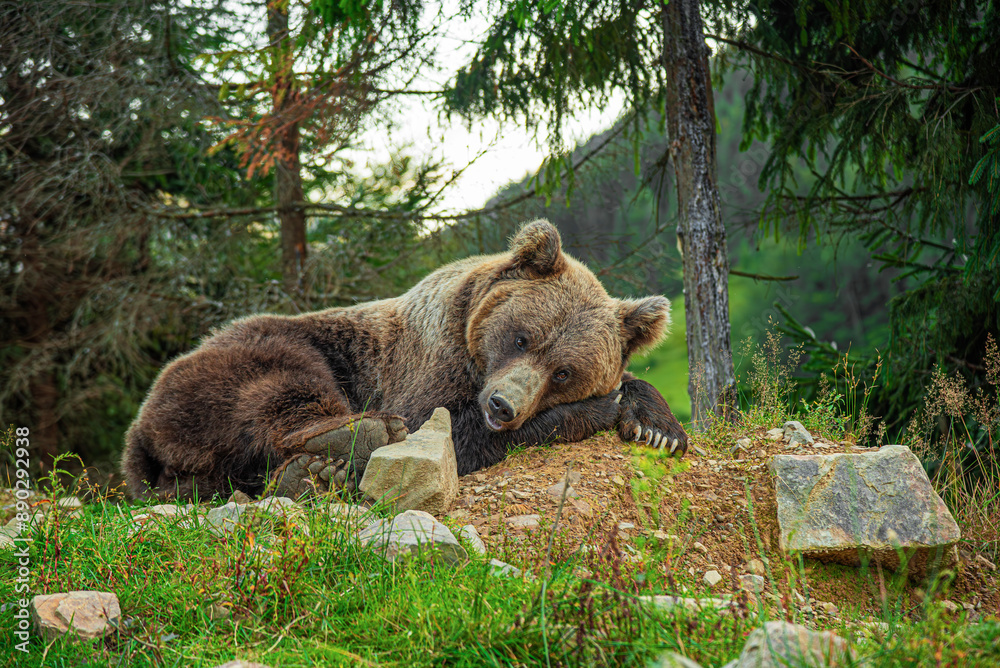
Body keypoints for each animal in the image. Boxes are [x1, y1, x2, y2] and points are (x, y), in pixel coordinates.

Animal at [121, 220, 688, 500]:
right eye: (523, 338)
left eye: (565, 371)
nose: (503, 406)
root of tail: (139, 433)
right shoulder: (422, 366)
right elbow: (442, 429)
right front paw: (600, 409)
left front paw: (657, 426)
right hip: (249, 355)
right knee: (280, 388)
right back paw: (347, 441)